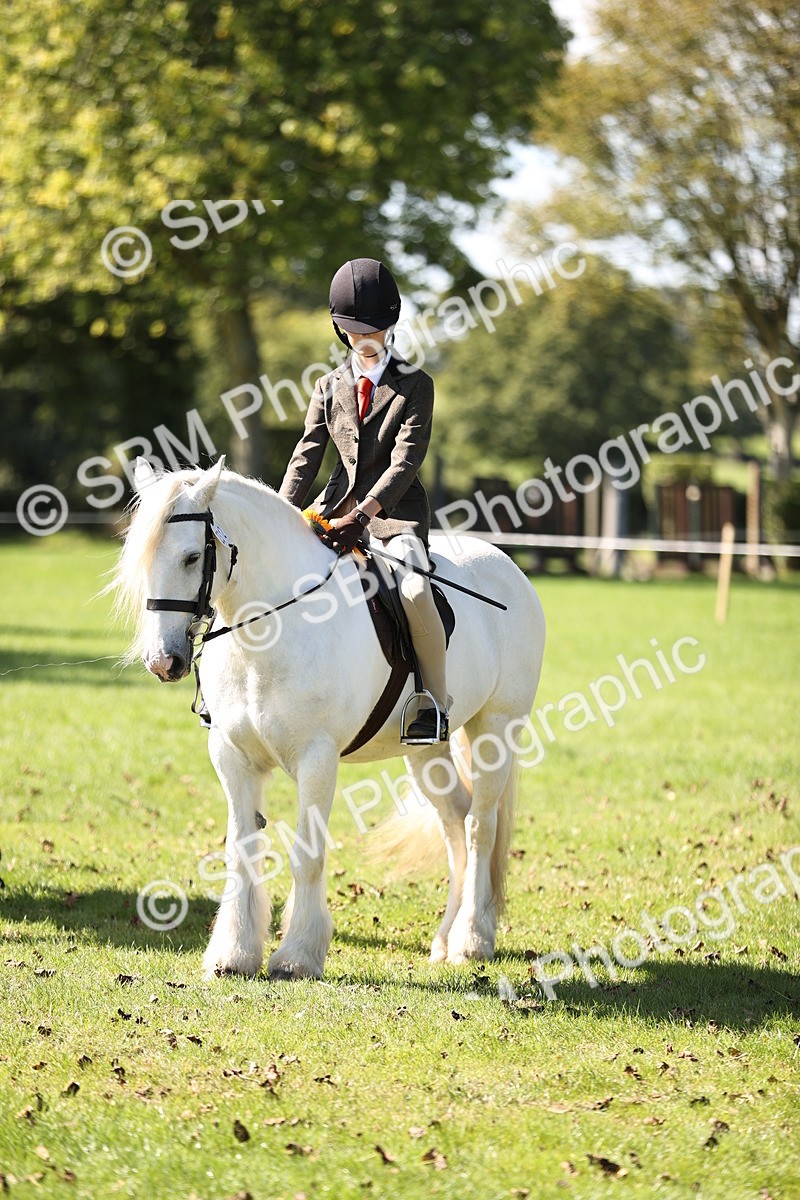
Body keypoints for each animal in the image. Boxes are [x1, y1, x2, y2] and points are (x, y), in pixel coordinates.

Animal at [111, 457, 546, 981]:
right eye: (141, 559)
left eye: (193, 557)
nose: (164, 662)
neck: (269, 629)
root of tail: (505, 564)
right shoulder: (232, 757)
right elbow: (241, 849)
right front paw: (233, 954)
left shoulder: (316, 759)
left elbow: (307, 855)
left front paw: (297, 956)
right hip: (428, 752)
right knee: (455, 822)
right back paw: (445, 938)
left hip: (496, 728)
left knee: (481, 825)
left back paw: (472, 940)